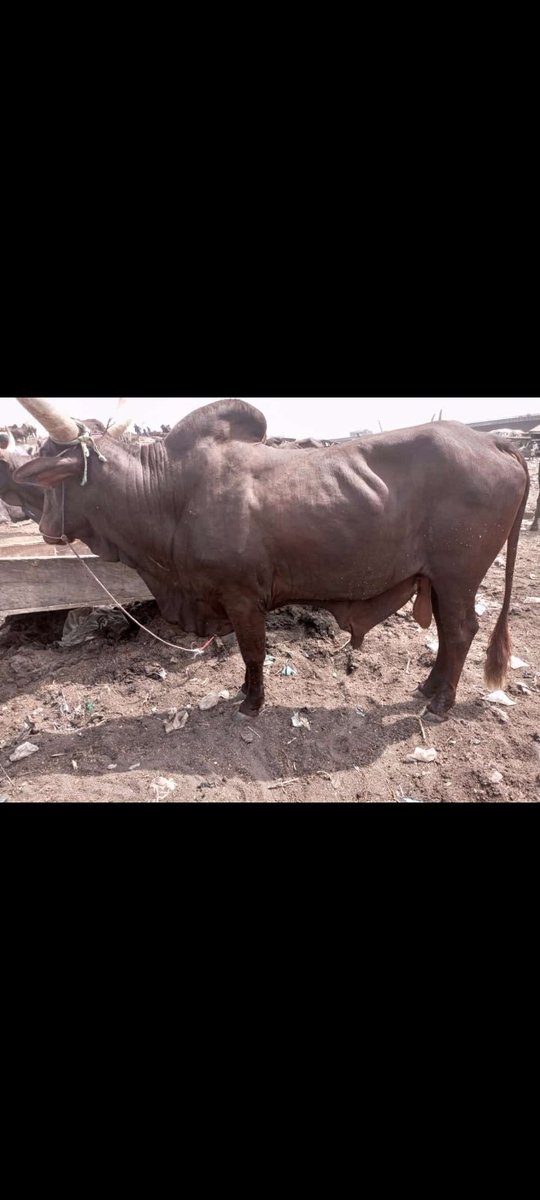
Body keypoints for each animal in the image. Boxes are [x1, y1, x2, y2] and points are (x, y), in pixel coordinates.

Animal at [13, 397, 529, 721]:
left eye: (49, 460)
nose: (43, 526)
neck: (170, 493)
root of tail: (492, 441)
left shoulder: (241, 597)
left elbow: (253, 652)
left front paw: (251, 702)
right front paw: (246, 693)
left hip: (459, 575)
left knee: (461, 631)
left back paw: (441, 702)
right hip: (438, 578)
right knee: (447, 632)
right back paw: (428, 687)